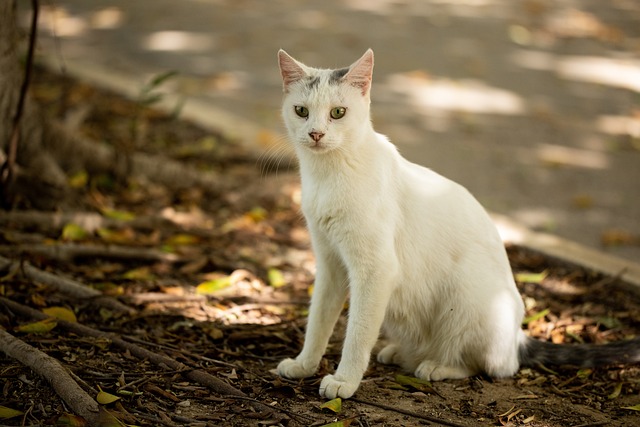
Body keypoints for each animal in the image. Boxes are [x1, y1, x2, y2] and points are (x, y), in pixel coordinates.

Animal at [276, 50, 640, 402]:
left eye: (338, 112)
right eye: (301, 111)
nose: (316, 134)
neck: (329, 173)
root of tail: (518, 338)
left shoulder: (376, 270)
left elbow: (357, 334)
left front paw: (345, 381)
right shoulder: (330, 265)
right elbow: (318, 322)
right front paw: (304, 365)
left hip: (465, 294)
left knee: (493, 367)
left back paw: (436, 366)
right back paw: (401, 353)